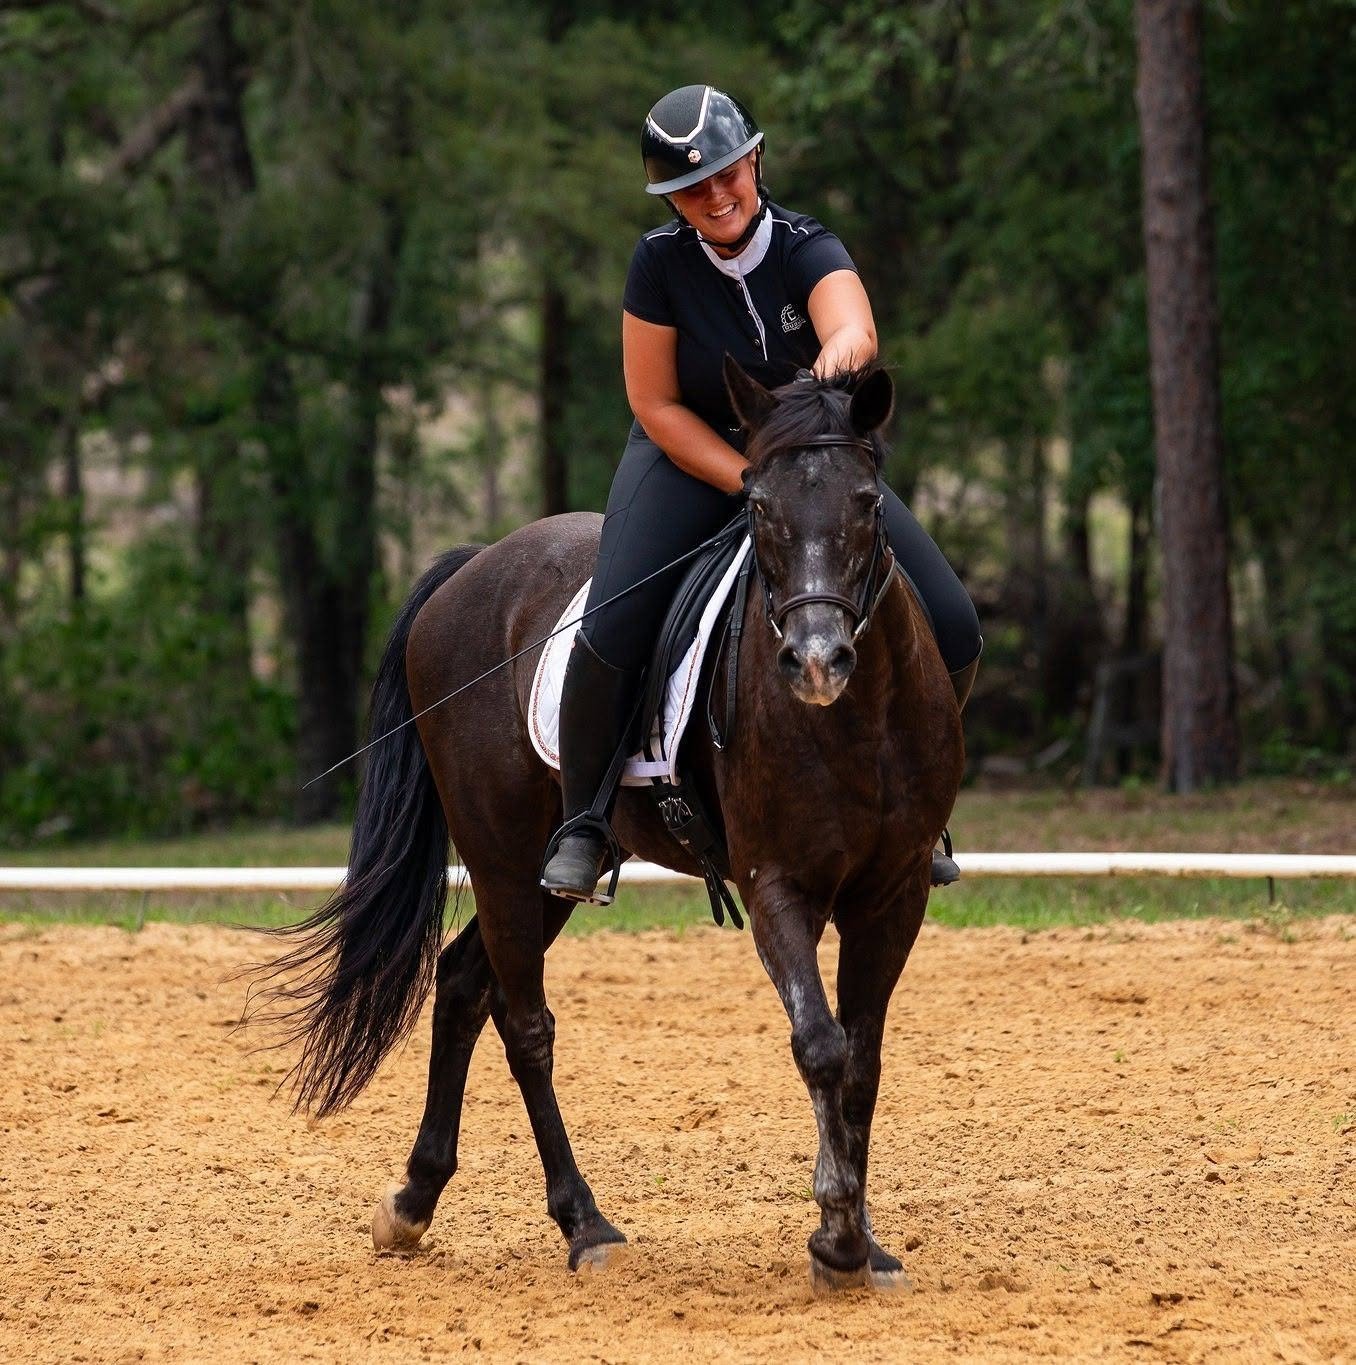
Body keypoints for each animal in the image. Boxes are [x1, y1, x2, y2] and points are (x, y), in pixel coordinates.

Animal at [253, 358, 965, 1291]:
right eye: (758, 506)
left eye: (869, 502)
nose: (816, 662)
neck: (857, 719)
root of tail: (473, 567)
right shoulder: (777, 885)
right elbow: (820, 1044)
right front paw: (836, 1237)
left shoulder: (895, 891)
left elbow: (863, 1061)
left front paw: (866, 1241)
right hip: (502, 860)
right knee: (524, 1023)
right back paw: (582, 1222)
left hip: (545, 873)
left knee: (464, 983)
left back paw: (413, 1199)